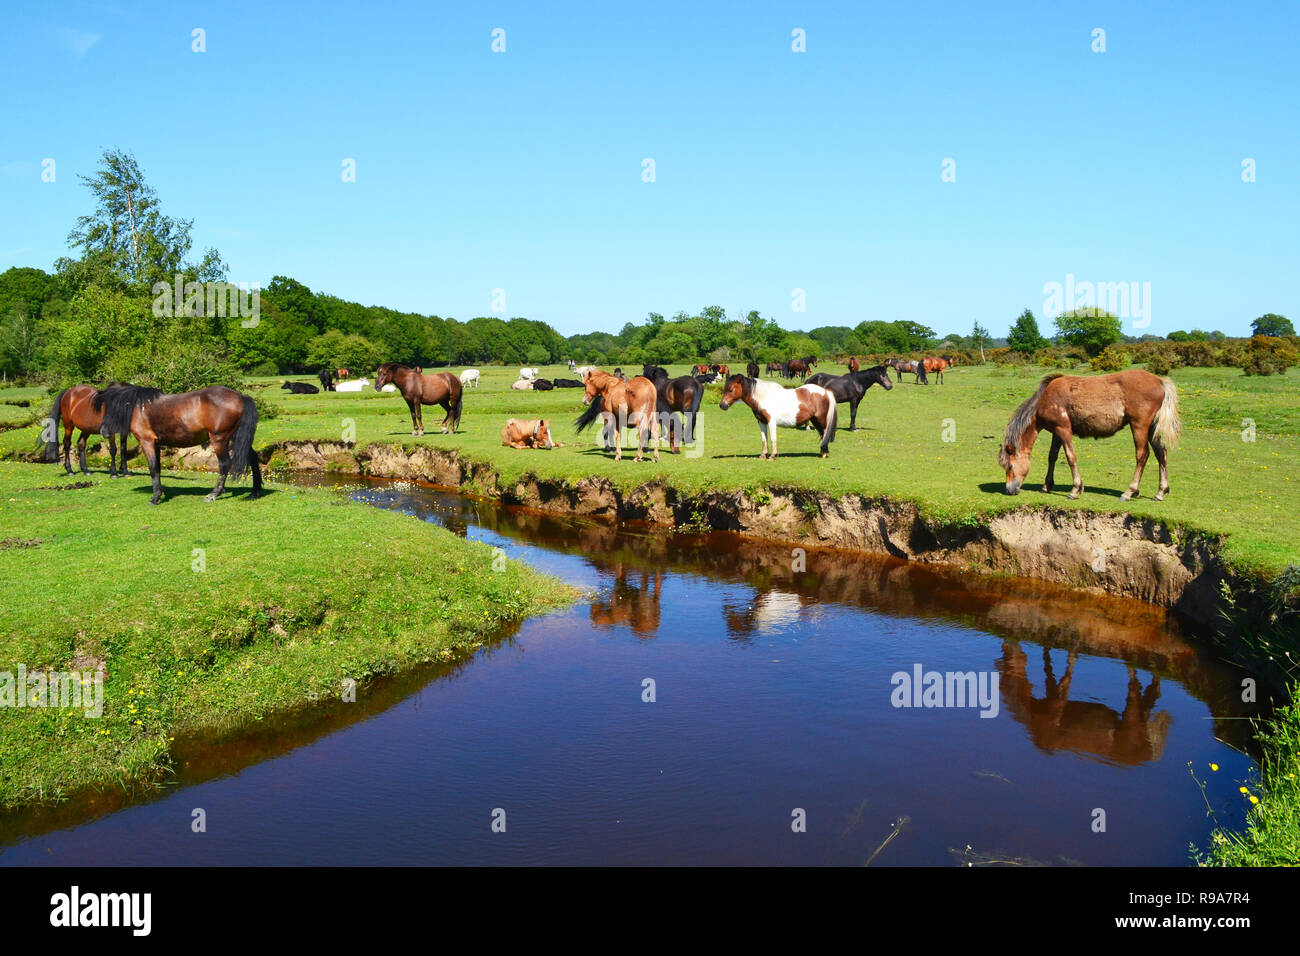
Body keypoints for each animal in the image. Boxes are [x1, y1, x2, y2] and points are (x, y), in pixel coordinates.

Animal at [94, 382, 261, 509]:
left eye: (114, 407)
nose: (103, 431)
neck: (139, 408)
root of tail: (241, 397)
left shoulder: (147, 442)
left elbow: (153, 469)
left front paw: (155, 498)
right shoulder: (156, 444)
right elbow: (158, 468)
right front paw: (159, 493)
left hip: (220, 439)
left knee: (225, 464)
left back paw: (214, 494)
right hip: (237, 438)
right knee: (253, 458)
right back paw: (255, 492)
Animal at [993, 369, 1180, 502]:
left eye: (1010, 466)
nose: (1009, 490)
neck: (1044, 399)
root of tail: (1160, 381)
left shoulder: (1064, 430)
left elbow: (1071, 457)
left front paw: (1075, 489)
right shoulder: (1056, 433)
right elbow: (1052, 457)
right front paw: (1047, 485)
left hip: (1139, 426)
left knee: (1142, 455)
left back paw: (1129, 492)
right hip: (1152, 428)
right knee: (1161, 454)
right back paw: (1160, 492)